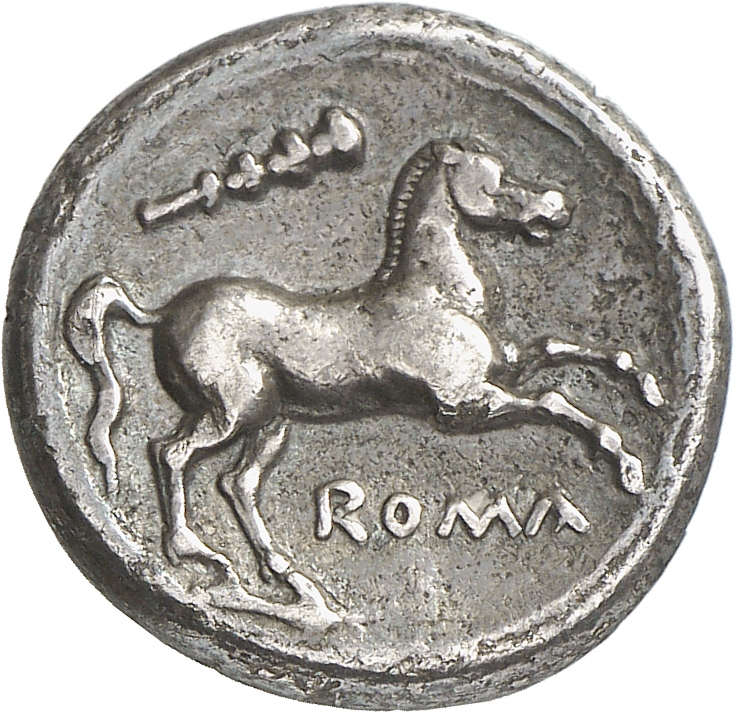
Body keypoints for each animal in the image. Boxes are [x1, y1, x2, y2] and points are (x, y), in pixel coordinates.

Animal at [65, 138, 657, 629]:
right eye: (497, 178)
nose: (557, 206)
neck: (438, 294)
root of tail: (163, 312)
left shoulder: (504, 368)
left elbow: (565, 348)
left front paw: (646, 385)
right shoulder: (464, 406)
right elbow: (555, 400)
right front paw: (626, 464)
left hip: (272, 422)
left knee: (238, 483)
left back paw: (285, 576)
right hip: (232, 412)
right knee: (170, 452)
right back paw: (199, 555)